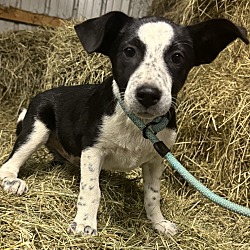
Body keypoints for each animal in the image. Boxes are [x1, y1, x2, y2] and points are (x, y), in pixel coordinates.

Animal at [0, 11, 248, 234]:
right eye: (129, 51)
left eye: (177, 57)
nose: (148, 94)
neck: (140, 123)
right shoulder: (92, 149)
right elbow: (91, 190)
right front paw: (84, 223)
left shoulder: (157, 158)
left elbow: (153, 194)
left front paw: (158, 222)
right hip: (37, 126)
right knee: (10, 163)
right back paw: (13, 181)